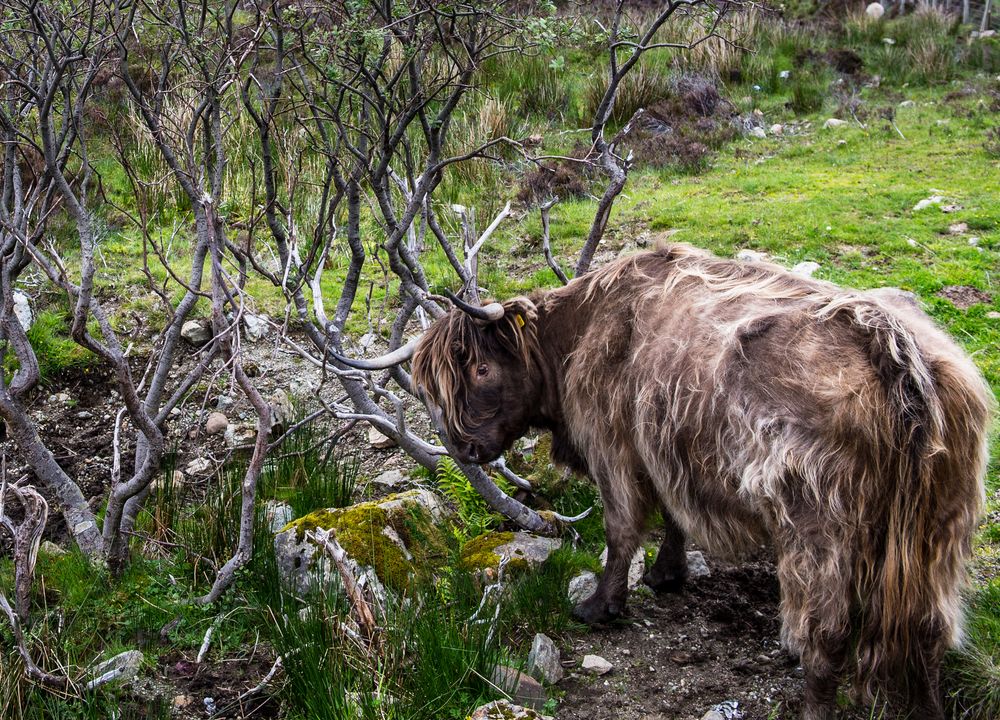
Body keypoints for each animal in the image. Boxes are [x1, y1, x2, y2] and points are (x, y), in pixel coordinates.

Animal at [368, 246, 992, 720]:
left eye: (480, 369)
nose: (464, 448)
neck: (578, 335)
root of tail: (892, 345)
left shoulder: (615, 448)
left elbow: (621, 530)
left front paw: (600, 606)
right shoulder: (667, 452)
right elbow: (672, 515)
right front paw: (667, 575)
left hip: (817, 525)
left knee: (827, 634)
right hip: (936, 528)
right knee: (926, 630)